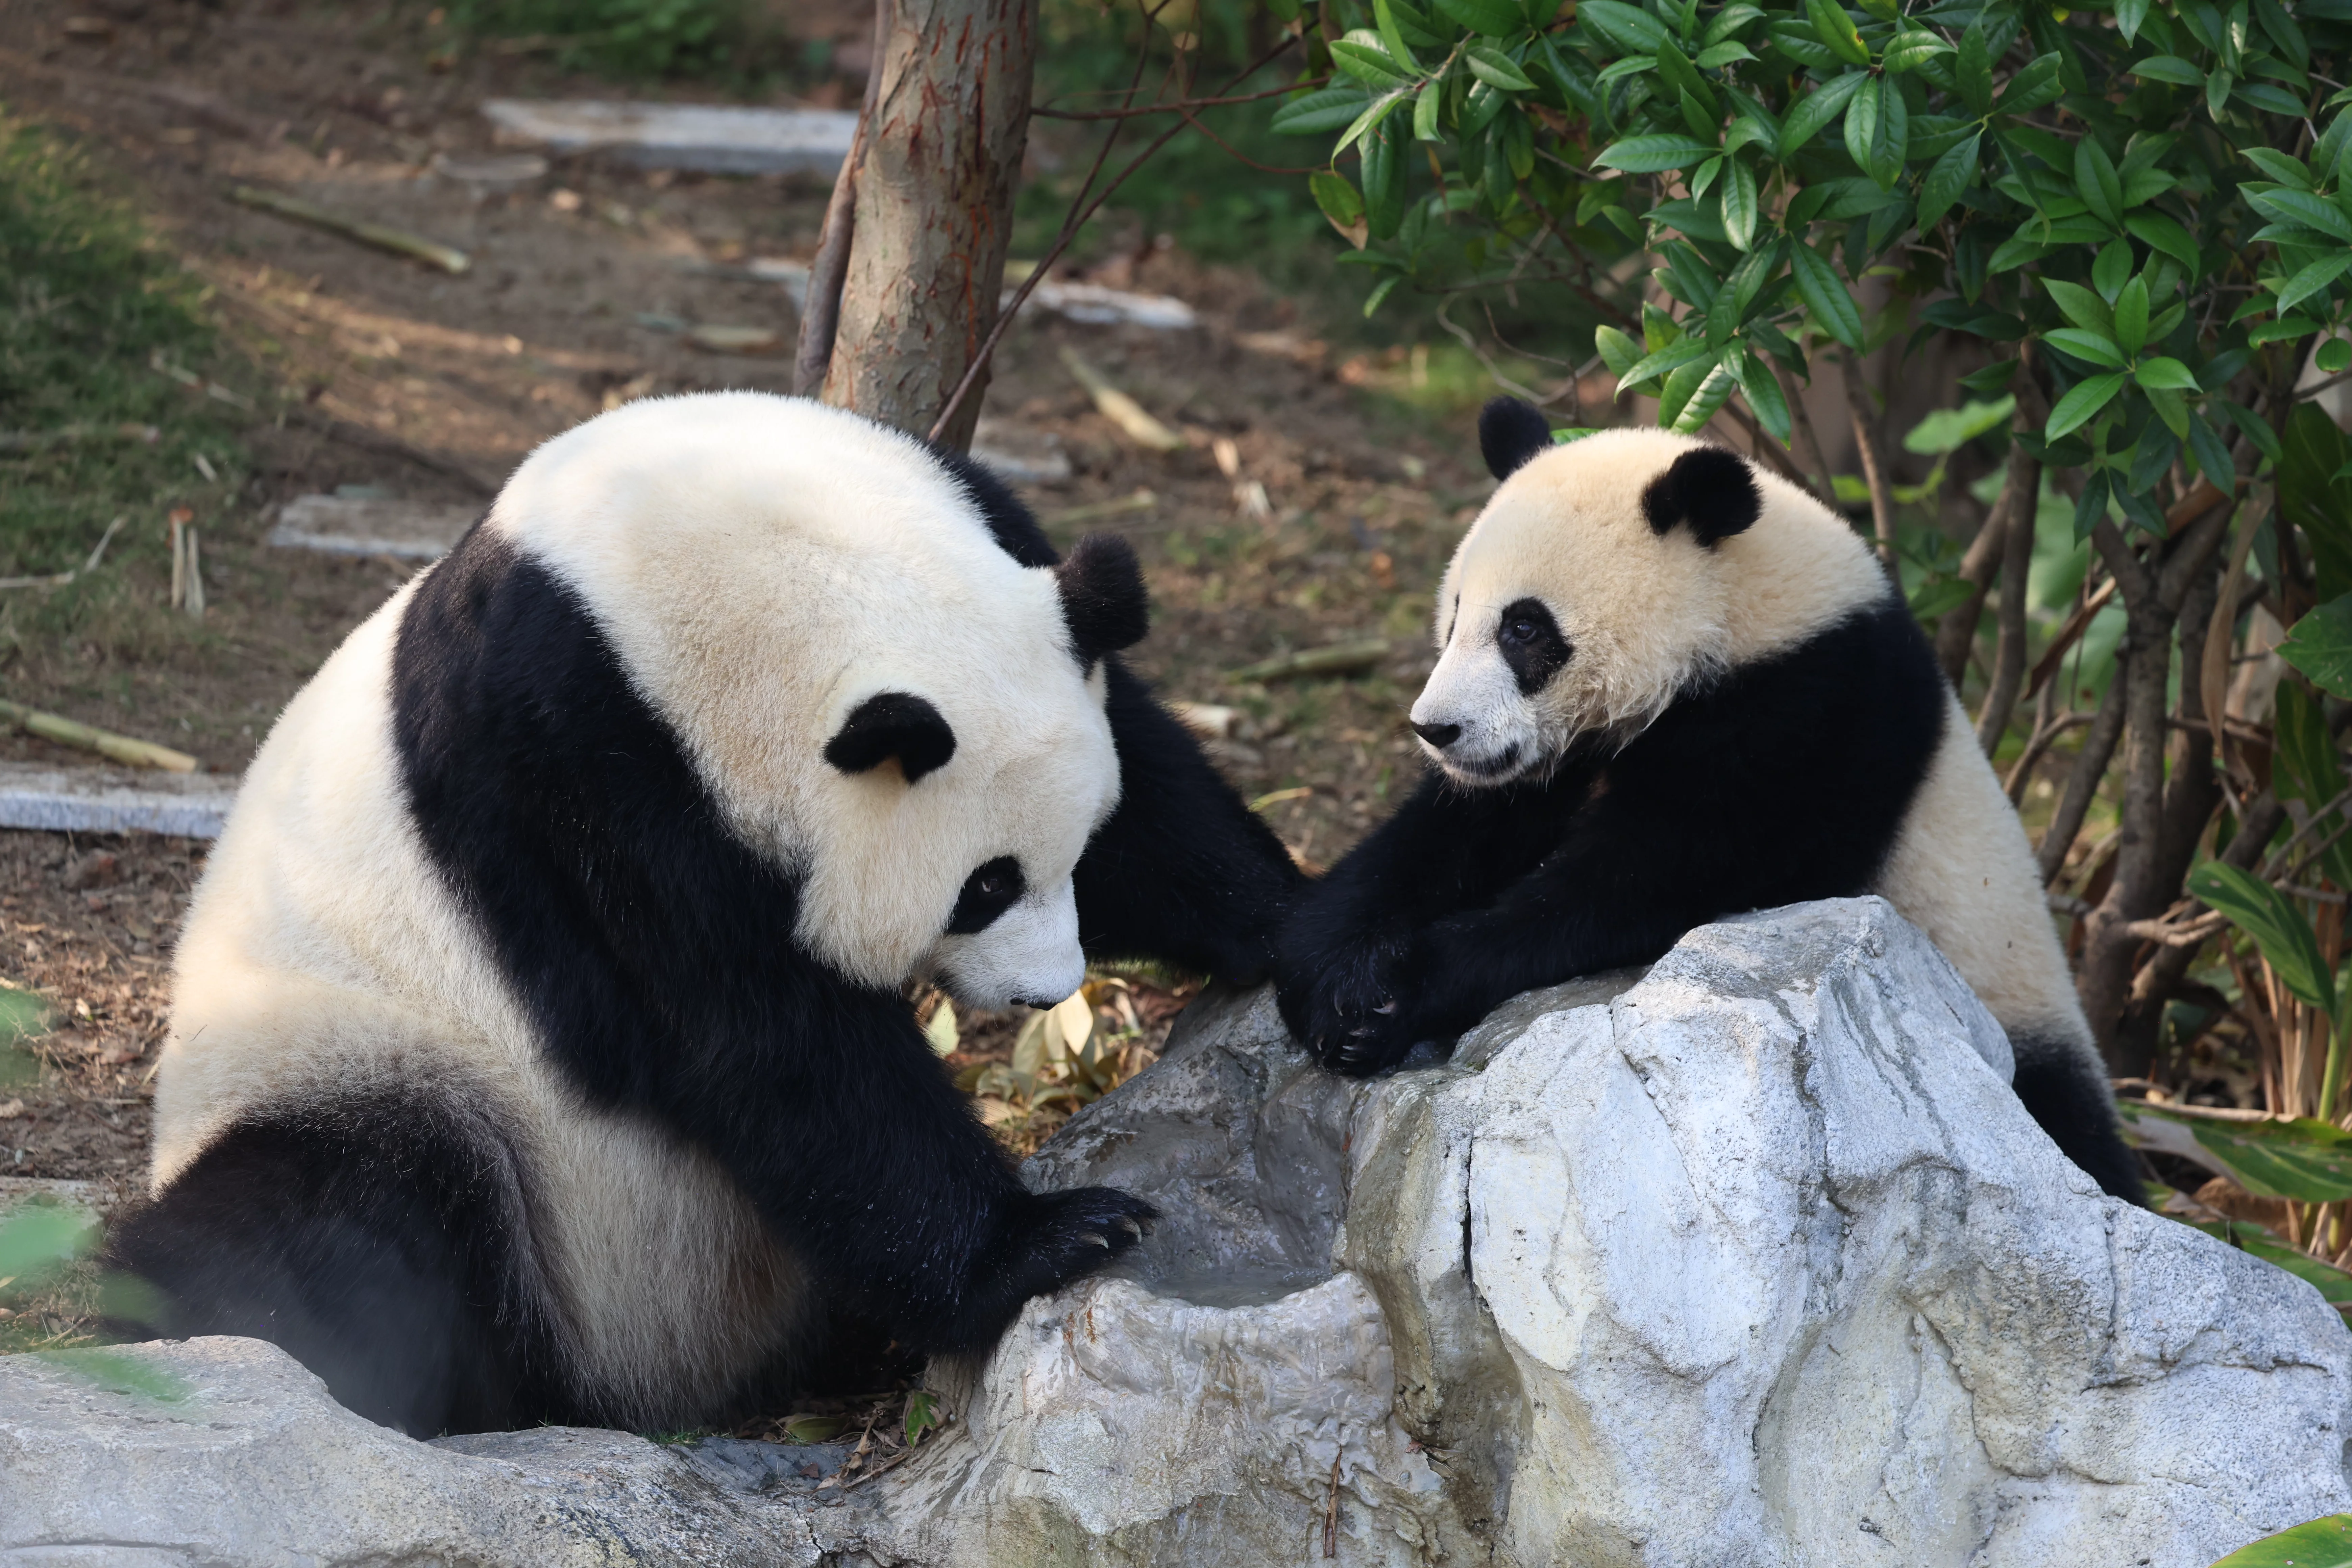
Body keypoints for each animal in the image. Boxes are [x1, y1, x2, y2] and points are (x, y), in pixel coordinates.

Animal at [106, 392, 1302, 1437]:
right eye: (987, 885)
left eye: (1081, 846)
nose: (1049, 991)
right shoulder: (569, 769)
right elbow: (755, 1038)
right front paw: (1049, 1240)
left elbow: (1156, 782)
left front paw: (1312, 935)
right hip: (369, 1067)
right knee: (331, 1219)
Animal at [1272, 398, 2140, 1204]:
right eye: (1455, 615)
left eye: (1524, 629)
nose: (1438, 728)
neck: (1742, 612)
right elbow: (1445, 836)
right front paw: (1331, 975)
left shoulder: (1813, 719)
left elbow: (1644, 881)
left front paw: (1397, 994)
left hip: (2010, 1015)